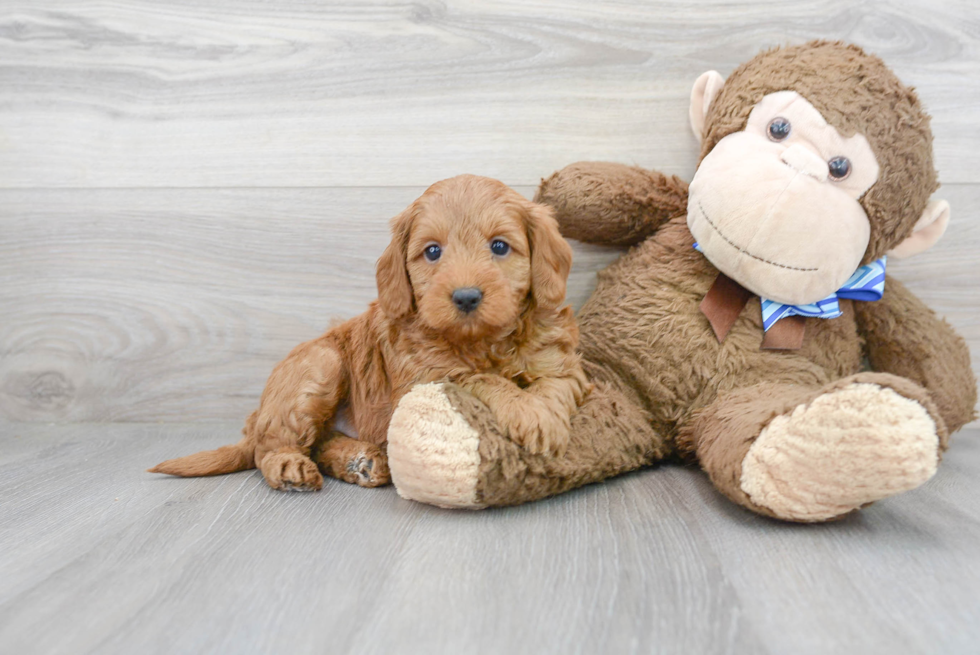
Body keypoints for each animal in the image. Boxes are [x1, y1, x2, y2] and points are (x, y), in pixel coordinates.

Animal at [147, 174, 588, 492]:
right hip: (320, 365)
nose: (465, 297)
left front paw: (544, 416)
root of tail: (258, 415)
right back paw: (290, 466)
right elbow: (480, 379)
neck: (482, 341)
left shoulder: (562, 363)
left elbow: (555, 384)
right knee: (267, 446)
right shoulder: (424, 376)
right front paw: (527, 411)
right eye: (432, 251)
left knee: (320, 441)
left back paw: (361, 461)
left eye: (499, 247)